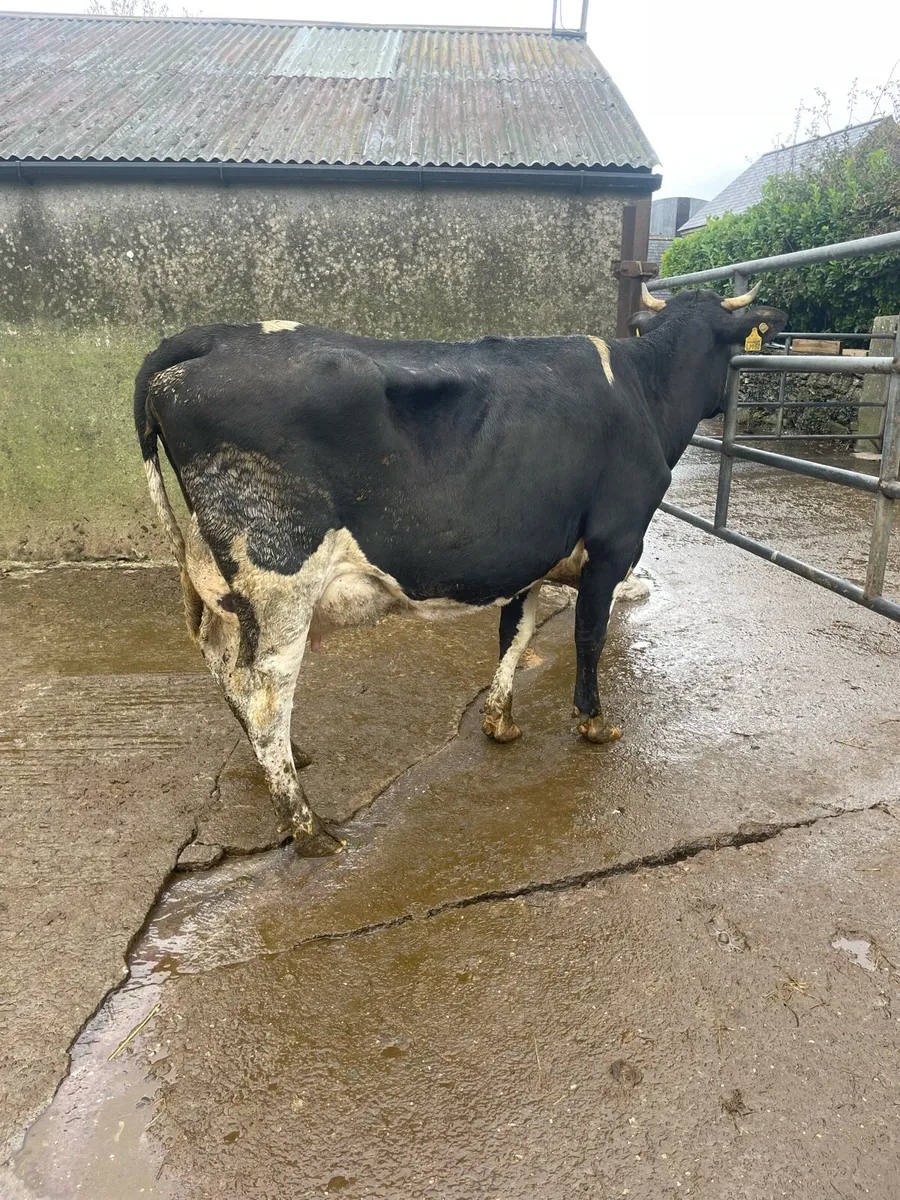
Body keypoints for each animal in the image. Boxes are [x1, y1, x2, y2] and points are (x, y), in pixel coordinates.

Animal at [135, 285, 787, 855]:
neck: (644, 391)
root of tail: (212, 337)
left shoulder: (528, 556)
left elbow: (514, 635)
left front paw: (500, 722)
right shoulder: (613, 543)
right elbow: (589, 637)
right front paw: (594, 722)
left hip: (216, 583)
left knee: (225, 667)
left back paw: (278, 763)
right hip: (279, 577)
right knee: (267, 691)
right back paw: (309, 827)